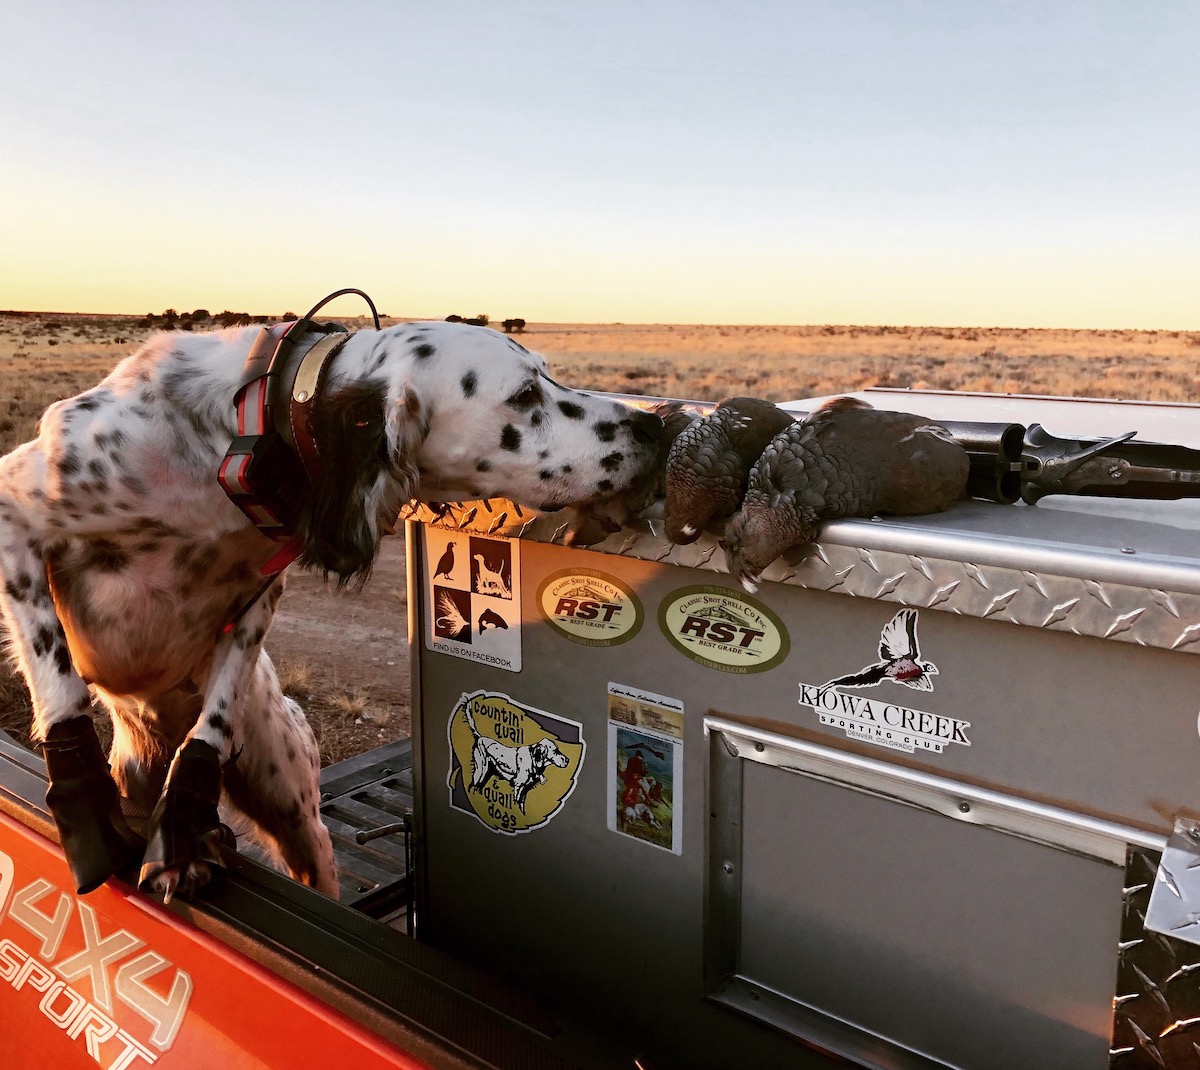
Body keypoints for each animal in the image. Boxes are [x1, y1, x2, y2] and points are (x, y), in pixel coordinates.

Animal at [0, 321, 662, 897]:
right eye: (525, 395)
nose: (650, 427)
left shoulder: (258, 598)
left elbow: (214, 718)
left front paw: (185, 822)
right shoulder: (15, 513)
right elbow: (60, 686)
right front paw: (86, 812)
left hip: (299, 819)